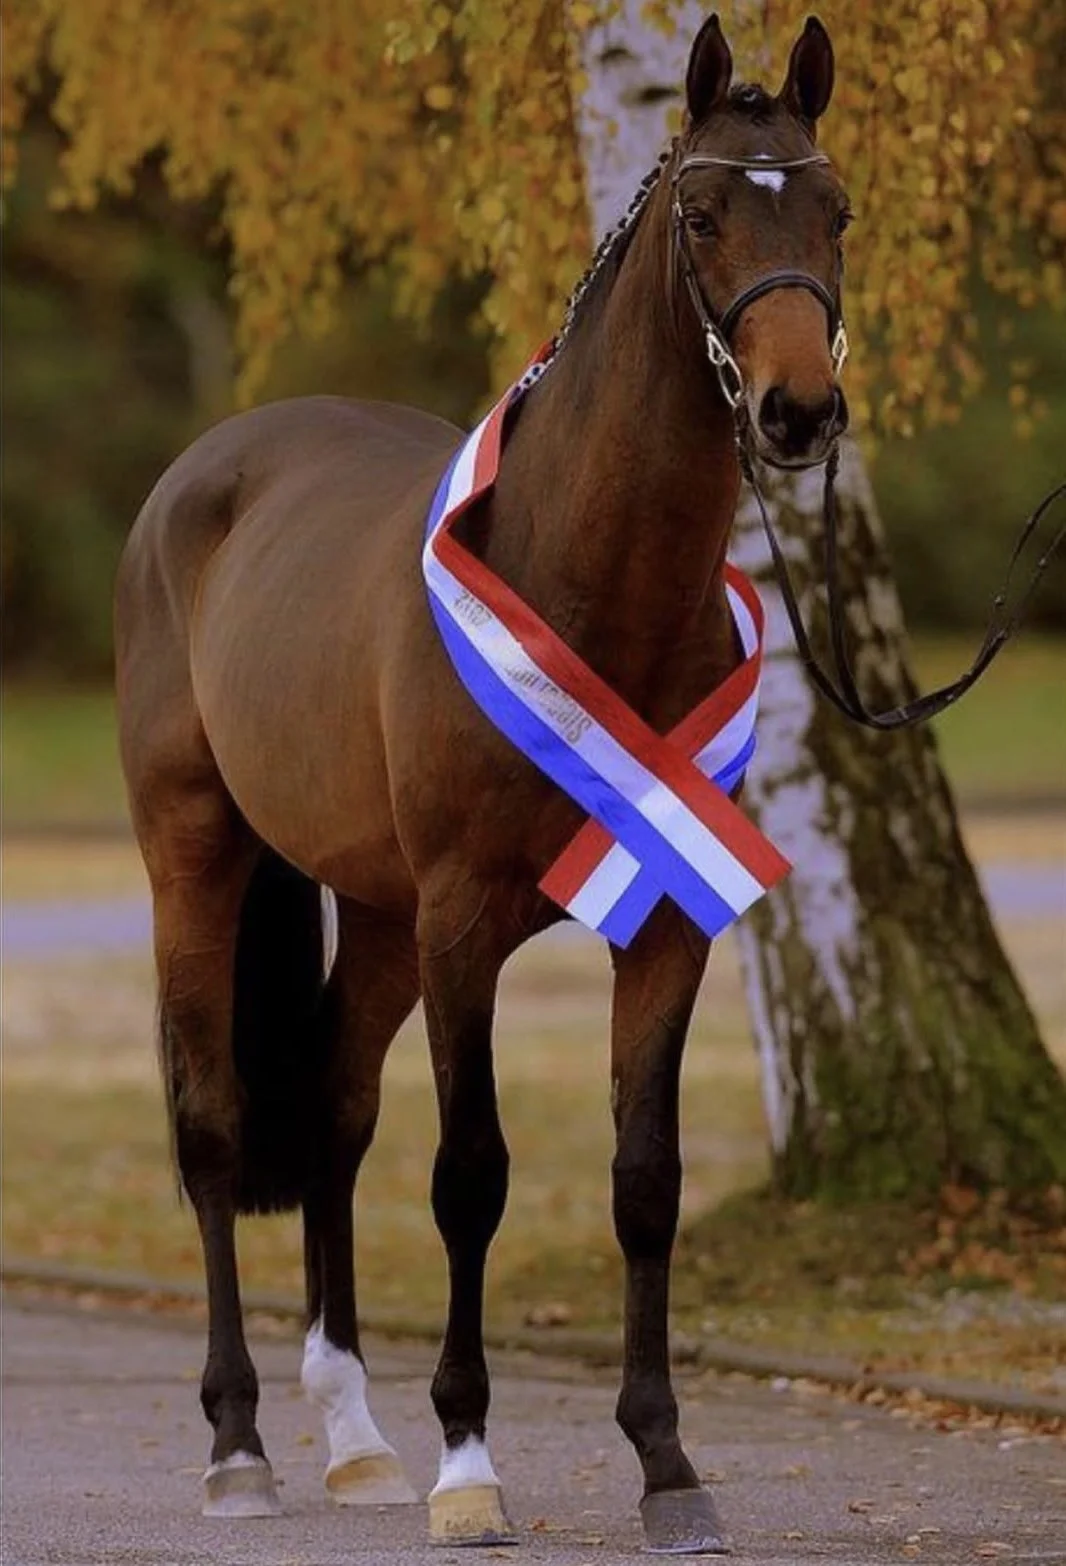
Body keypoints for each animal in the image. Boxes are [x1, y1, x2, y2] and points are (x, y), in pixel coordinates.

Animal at [115, 13, 849, 1553]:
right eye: (702, 215)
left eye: (835, 211)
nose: (798, 412)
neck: (588, 579)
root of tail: (199, 481)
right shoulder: (464, 924)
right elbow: (470, 1177)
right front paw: (469, 1465)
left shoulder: (665, 925)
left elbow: (645, 1181)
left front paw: (666, 1464)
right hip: (198, 861)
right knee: (215, 1129)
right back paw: (241, 1447)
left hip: (380, 916)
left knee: (334, 1112)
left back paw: (353, 1438)